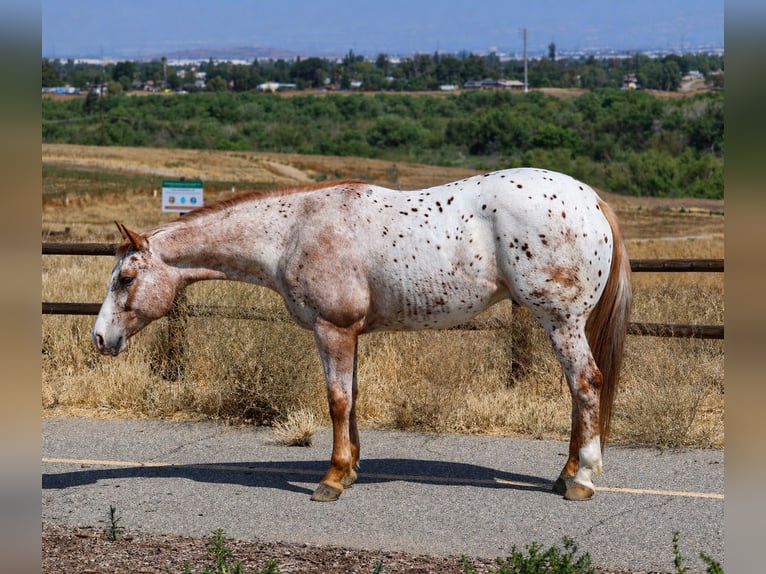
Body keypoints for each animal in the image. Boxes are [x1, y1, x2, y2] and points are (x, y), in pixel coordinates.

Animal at [93, 168, 632, 502]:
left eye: (126, 278)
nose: (100, 339)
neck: (293, 231)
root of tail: (591, 199)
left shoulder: (333, 329)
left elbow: (336, 401)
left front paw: (331, 479)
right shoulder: (349, 334)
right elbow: (351, 399)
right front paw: (349, 468)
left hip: (562, 322)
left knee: (586, 383)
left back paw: (582, 479)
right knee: (577, 391)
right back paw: (566, 474)